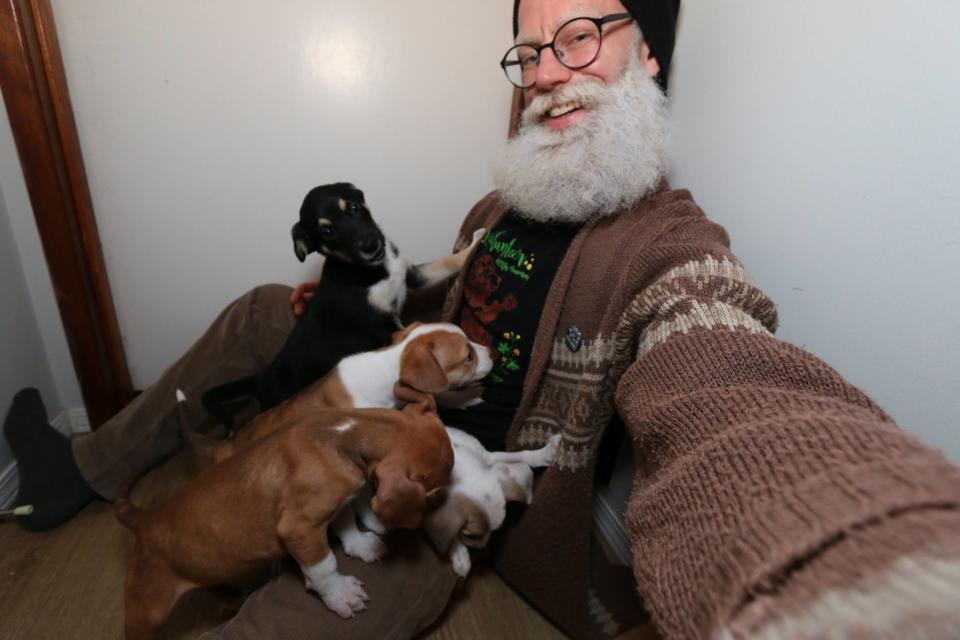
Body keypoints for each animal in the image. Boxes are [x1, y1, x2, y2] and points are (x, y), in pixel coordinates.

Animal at [116, 404, 454, 640]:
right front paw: (340, 595)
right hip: (147, 611)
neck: (342, 433)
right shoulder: (300, 530)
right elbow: (324, 566)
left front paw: (361, 546)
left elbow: (346, 526)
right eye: (432, 493)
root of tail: (143, 520)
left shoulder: (336, 503)